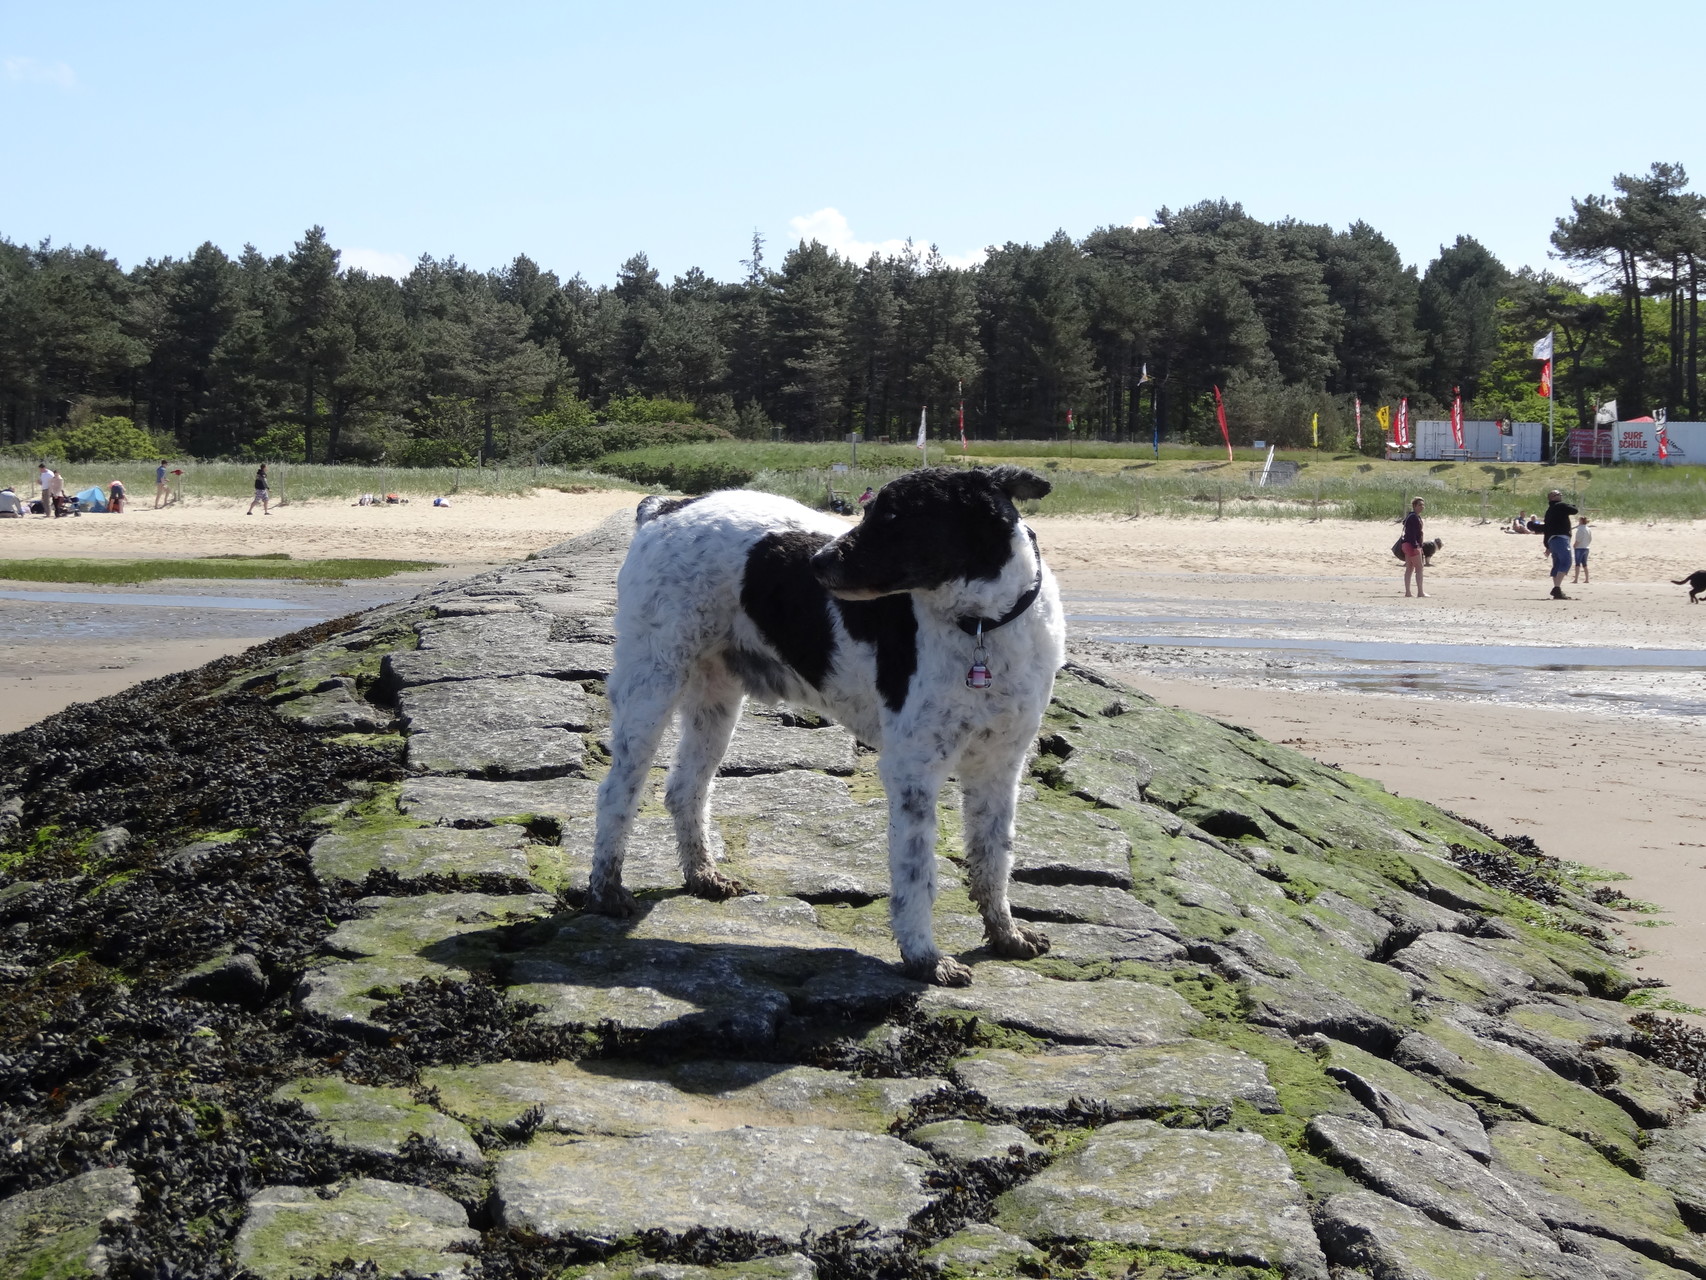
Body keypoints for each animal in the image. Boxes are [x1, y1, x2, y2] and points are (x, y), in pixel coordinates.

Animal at [590, 467, 1064, 989]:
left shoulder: (1000, 766)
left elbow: (994, 859)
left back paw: (702, 874)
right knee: (617, 793)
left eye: (894, 517)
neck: (983, 627)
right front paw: (924, 957)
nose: (816, 563)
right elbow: (917, 873)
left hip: (715, 699)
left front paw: (1006, 934)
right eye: (868, 510)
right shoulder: (913, 772)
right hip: (651, 684)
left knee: (684, 790)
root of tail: (664, 508)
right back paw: (607, 889)